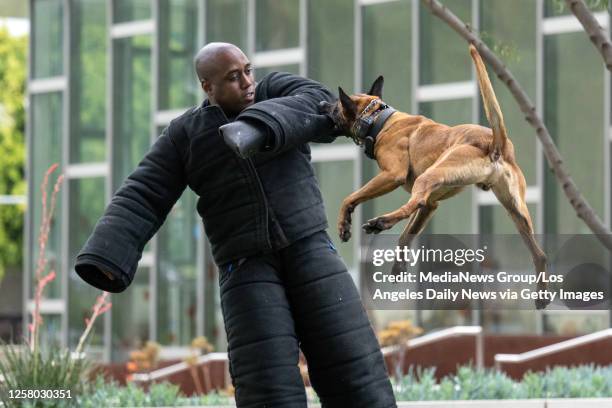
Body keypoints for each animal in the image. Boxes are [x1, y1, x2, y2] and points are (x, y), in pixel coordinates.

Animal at [320, 45, 548, 310]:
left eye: (335, 106)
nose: (322, 102)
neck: (379, 119)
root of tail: (495, 141)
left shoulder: (392, 175)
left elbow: (350, 198)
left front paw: (344, 224)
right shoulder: (432, 204)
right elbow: (406, 235)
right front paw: (398, 266)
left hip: (429, 178)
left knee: (411, 203)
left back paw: (382, 222)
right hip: (517, 213)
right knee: (540, 255)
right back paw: (542, 295)